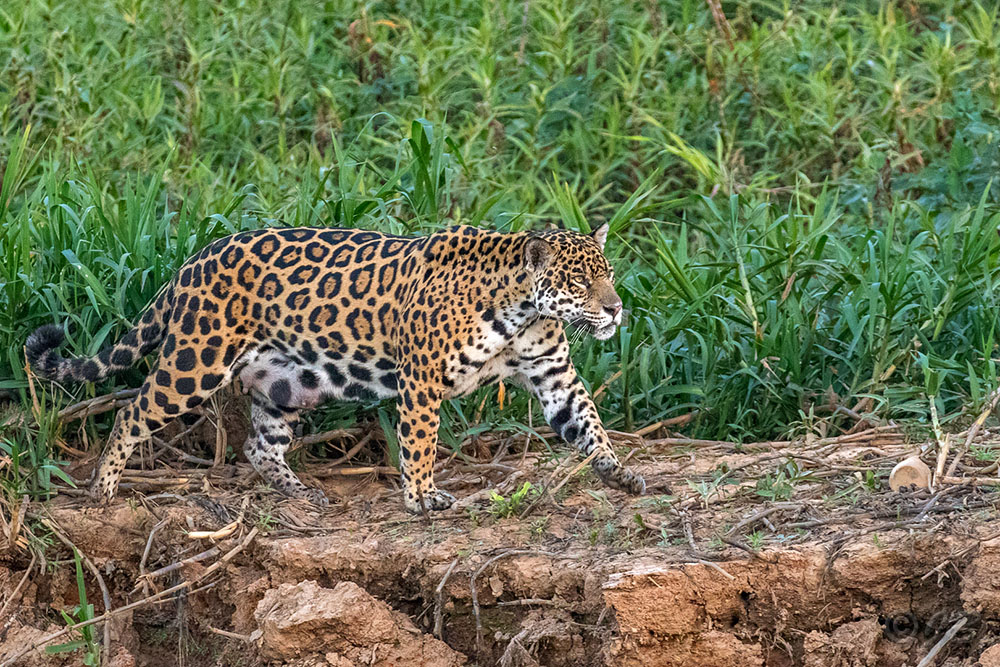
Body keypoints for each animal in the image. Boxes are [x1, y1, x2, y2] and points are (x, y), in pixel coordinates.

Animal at [25, 223, 645, 512]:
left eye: (610, 272)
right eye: (578, 281)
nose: (616, 308)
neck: (520, 311)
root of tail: (192, 261)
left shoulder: (552, 373)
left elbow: (587, 420)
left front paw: (618, 471)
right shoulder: (421, 379)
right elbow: (420, 441)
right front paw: (422, 497)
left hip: (287, 382)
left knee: (258, 444)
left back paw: (301, 494)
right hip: (194, 363)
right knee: (132, 412)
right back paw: (103, 489)